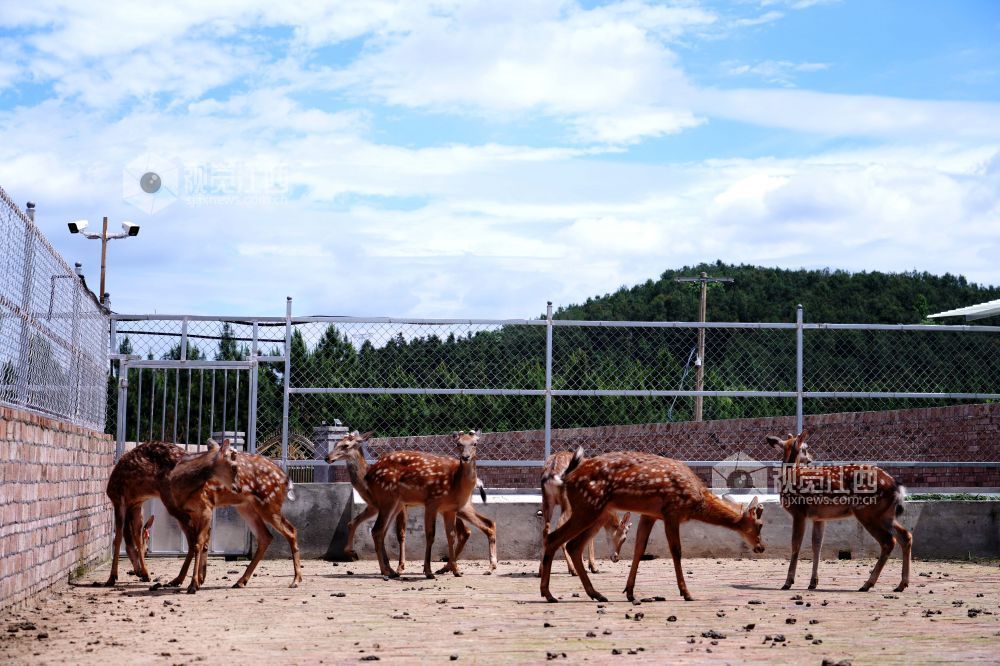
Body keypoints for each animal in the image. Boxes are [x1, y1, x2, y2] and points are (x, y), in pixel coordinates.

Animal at [324, 430, 490, 574]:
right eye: (336, 443)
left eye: (345, 445)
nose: (327, 457)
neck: (365, 483)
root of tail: (478, 482)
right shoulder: (375, 506)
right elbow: (354, 523)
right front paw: (353, 553)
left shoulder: (393, 505)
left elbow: (399, 533)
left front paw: (399, 567)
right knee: (466, 531)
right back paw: (447, 567)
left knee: (466, 531)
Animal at [540, 448, 765, 603]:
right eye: (760, 524)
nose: (761, 547)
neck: (695, 501)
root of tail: (567, 477)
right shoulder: (671, 511)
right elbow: (676, 551)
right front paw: (687, 593)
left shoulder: (650, 514)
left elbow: (639, 548)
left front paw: (630, 592)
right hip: (588, 507)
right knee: (556, 538)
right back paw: (548, 594)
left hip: (595, 511)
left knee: (571, 544)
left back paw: (595, 594)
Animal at [768, 432, 911, 593]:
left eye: (805, 447)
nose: (810, 459)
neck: (790, 474)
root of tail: (896, 485)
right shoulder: (819, 517)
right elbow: (817, 545)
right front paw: (813, 582)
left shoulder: (799, 511)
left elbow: (795, 544)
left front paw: (788, 582)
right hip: (885, 514)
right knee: (905, 536)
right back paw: (901, 584)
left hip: (867, 511)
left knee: (888, 541)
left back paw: (867, 584)